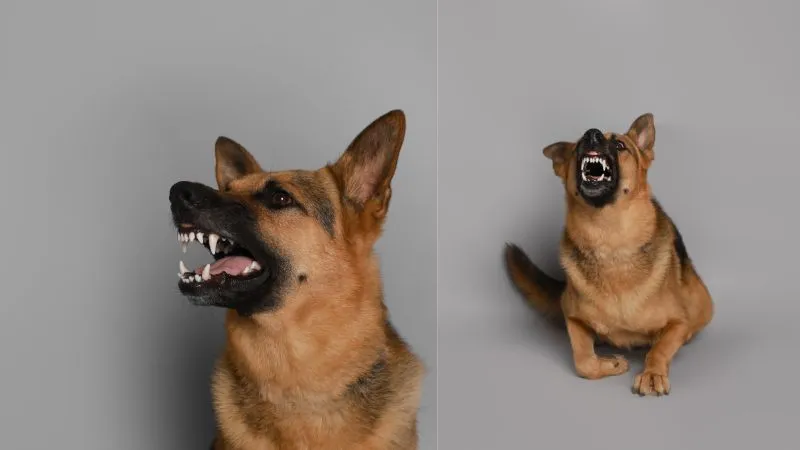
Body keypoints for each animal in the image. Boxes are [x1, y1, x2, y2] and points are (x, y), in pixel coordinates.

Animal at [506, 114, 712, 396]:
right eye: (577, 146)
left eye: (619, 145)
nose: (590, 134)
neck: (610, 243)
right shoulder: (572, 318)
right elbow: (582, 361)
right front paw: (610, 363)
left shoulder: (678, 322)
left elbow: (659, 348)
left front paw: (652, 373)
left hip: (704, 303)